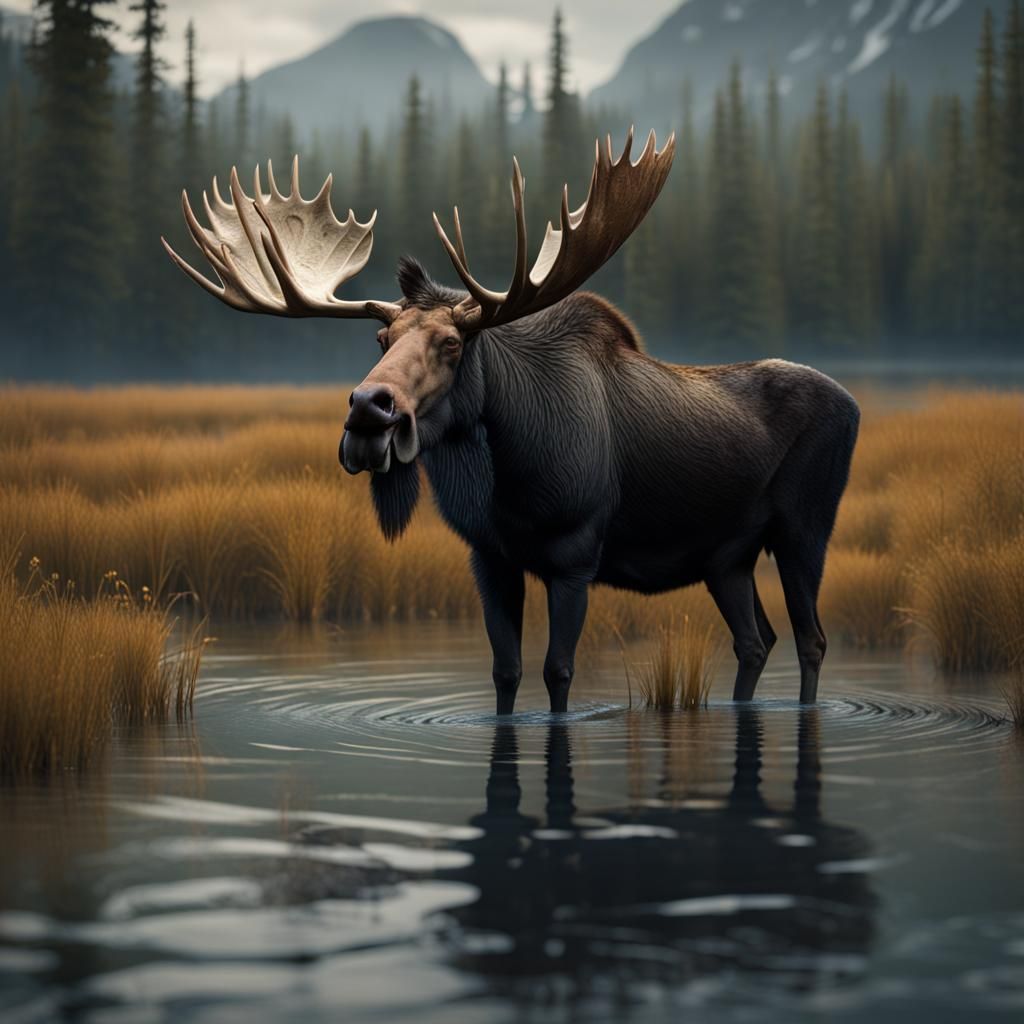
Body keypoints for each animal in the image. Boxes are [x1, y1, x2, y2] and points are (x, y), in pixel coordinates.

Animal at [163, 128, 860, 715]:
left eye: (452, 344)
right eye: (381, 338)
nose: (368, 411)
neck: (510, 480)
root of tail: (854, 403)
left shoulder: (575, 555)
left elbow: (557, 672)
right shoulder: (490, 557)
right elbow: (505, 672)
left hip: (803, 529)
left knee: (812, 638)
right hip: (727, 558)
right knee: (755, 640)